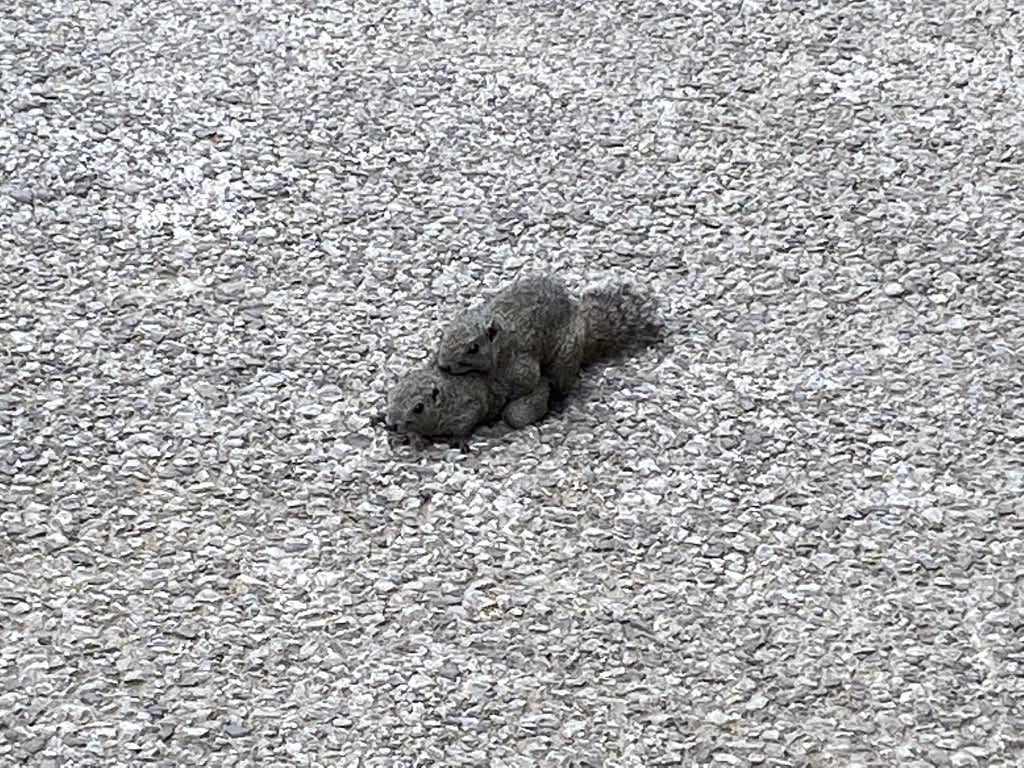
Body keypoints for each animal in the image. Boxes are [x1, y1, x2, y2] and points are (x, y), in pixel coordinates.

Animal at [380, 274, 663, 448]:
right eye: (390, 396)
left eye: (418, 407)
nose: (392, 424)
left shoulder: (474, 402)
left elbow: (468, 422)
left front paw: (458, 440)